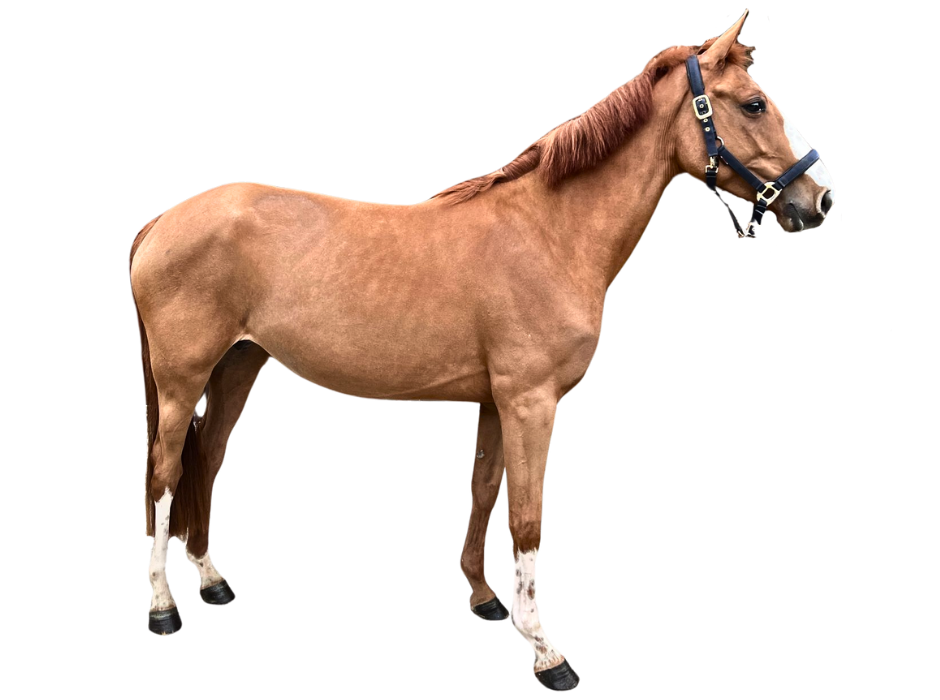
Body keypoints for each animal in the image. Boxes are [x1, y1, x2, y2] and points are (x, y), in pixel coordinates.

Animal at [130, 9, 835, 690]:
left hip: (237, 366)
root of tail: (161, 223)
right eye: (753, 104)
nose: (822, 197)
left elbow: (484, 489)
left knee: (206, 458)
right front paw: (545, 650)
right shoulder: (532, 403)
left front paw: (484, 599)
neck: (548, 233)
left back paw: (211, 581)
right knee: (163, 473)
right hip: (182, 377)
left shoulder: (498, 403)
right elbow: (526, 518)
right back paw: (164, 607)